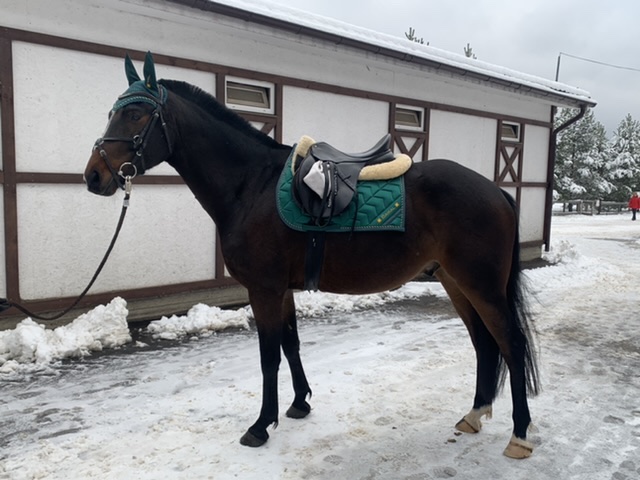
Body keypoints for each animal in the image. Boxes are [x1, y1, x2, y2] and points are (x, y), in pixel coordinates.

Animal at [84, 53, 540, 459]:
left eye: (137, 115)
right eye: (111, 112)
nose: (93, 176)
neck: (251, 185)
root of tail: (497, 191)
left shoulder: (264, 290)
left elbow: (269, 357)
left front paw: (259, 426)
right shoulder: (281, 290)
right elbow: (291, 345)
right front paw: (299, 403)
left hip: (481, 285)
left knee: (510, 343)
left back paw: (519, 435)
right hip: (455, 281)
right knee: (483, 343)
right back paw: (474, 414)